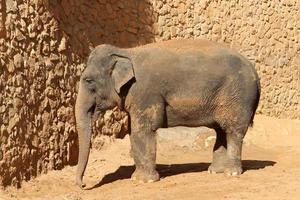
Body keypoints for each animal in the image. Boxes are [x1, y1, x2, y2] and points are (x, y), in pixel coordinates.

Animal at [75, 38, 260, 188]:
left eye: (88, 81)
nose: (83, 185)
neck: (126, 52)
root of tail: (255, 71)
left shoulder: (146, 92)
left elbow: (143, 130)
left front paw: (145, 181)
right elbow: (133, 131)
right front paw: (137, 178)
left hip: (238, 97)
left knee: (233, 131)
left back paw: (231, 173)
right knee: (221, 131)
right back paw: (215, 171)